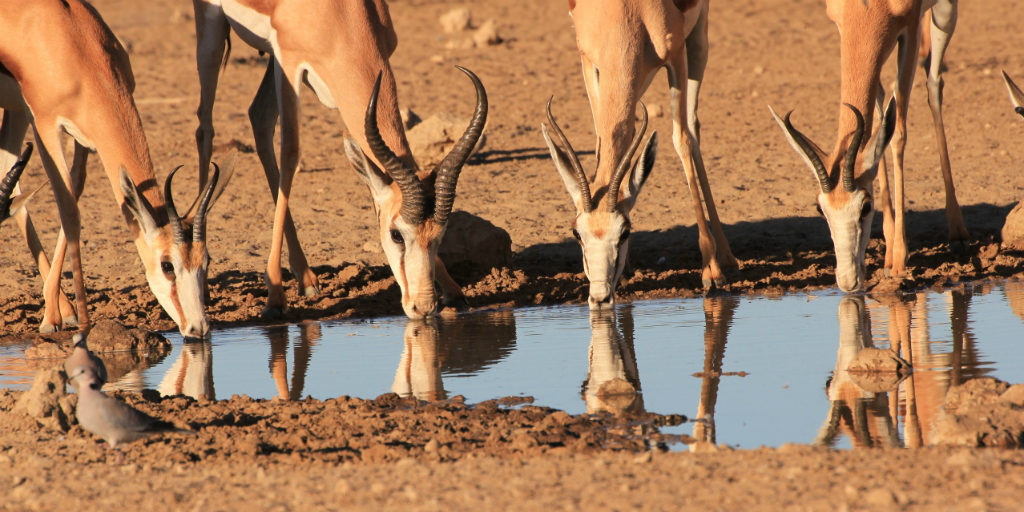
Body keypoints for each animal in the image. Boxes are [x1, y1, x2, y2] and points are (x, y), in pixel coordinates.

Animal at [0, 0, 228, 337]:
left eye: (207, 260)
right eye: (167, 265)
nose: (198, 329)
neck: (74, 43)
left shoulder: (86, 136)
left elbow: (76, 189)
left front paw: (63, 314)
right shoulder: (45, 126)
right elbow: (69, 211)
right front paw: (69, 321)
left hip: (14, 112)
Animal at [192, 0, 487, 317]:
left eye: (439, 236)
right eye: (396, 235)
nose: (423, 307)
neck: (343, 15)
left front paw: (454, 292)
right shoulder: (289, 62)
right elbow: (290, 152)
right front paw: (274, 297)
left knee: (259, 118)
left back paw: (306, 278)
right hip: (214, 32)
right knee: (205, 127)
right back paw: (205, 285)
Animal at [548, 0, 741, 307]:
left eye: (625, 231)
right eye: (576, 233)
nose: (599, 296)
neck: (625, 12)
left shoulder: (675, 55)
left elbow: (681, 140)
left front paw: (710, 272)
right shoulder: (589, 61)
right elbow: (604, 140)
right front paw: (625, 270)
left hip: (698, 39)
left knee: (692, 128)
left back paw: (725, 258)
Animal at [770, 0, 970, 292]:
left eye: (865, 207)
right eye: (820, 209)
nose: (847, 281)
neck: (867, 8)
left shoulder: (910, 29)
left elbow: (897, 132)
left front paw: (899, 261)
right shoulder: (845, 29)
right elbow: (878, 121)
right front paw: (888, 255)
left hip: (944, 14)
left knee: (934, 84)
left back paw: (958, 234)